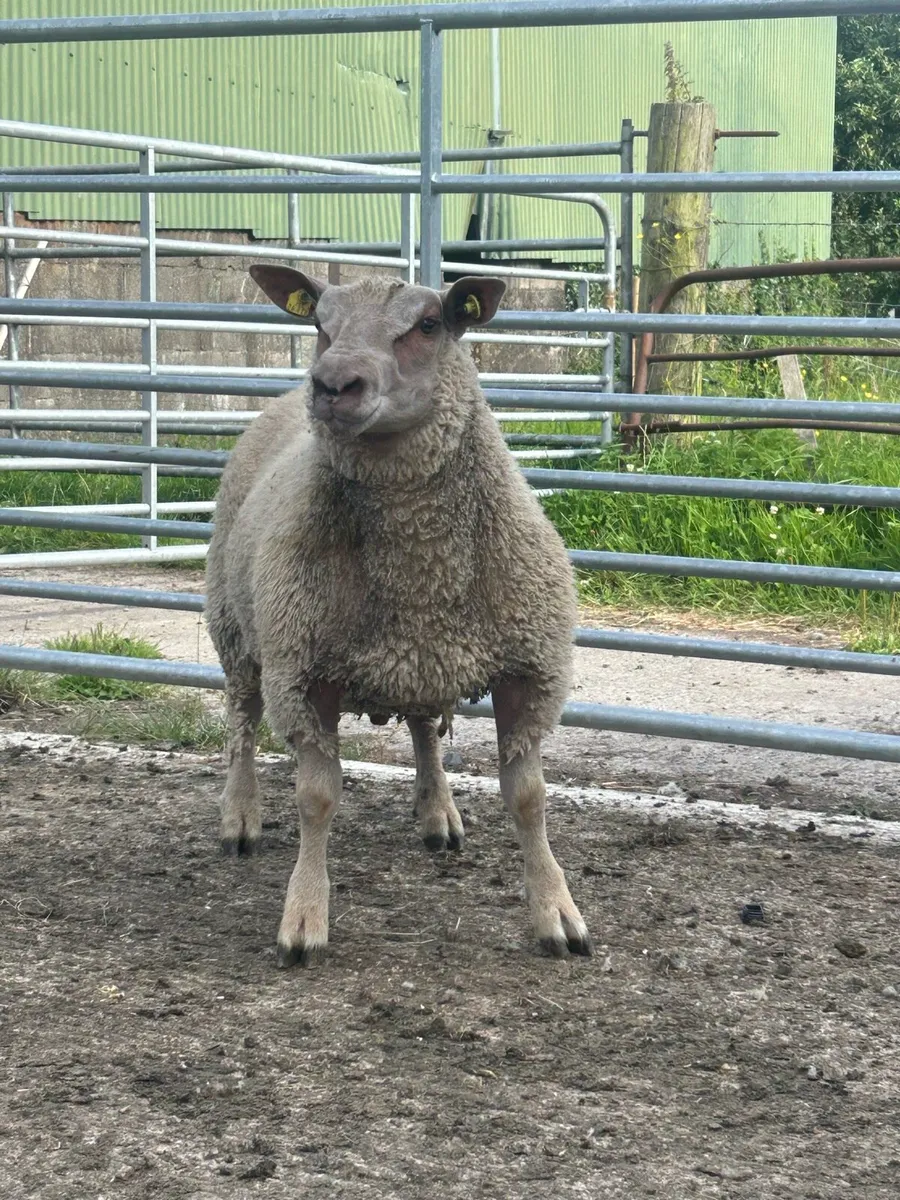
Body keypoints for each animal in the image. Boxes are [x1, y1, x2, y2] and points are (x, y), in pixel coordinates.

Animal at [205, 264, 592, 966]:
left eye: (429, 323)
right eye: (319, 322)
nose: (332, 384)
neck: (420, 568)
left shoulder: (530, 672)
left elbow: (528, 799)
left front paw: (557, 911)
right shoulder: (303, 675)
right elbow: (316, 798)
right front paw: (304, 916)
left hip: (417, 659)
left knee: (422, 728)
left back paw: (437, 812)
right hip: (236, 629)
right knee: (242, 721)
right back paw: (239, 816)